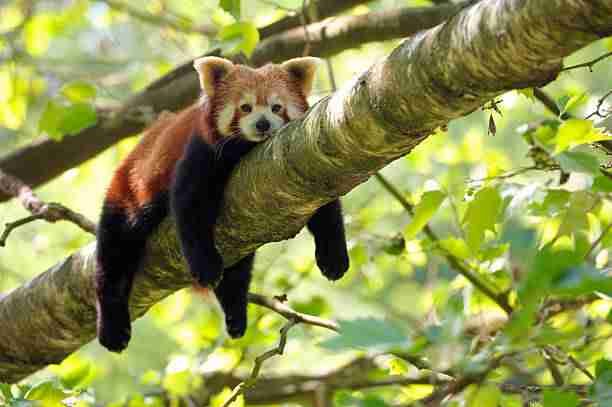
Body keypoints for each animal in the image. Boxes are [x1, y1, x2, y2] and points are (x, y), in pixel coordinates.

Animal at [98, 55, 352, 352]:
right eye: (245, 107)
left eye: (277, 107)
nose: (263, 124)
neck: (245, 150)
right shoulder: (202, 152)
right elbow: (190, 208)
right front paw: (206, 266)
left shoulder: (305, 163)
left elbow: (325, 210)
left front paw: (333, 258)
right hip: (128, 193)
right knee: (114, 256)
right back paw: (113, 327)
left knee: (238, 270)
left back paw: (235, 312)